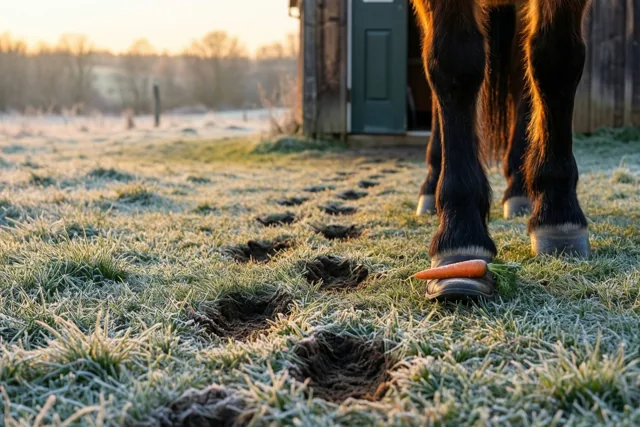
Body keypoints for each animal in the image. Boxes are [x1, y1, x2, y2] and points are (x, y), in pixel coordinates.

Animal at [411, 0, 591, 300]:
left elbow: (556, 58)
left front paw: (558, 212)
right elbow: (454, 63)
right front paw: (460, 236)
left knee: (522, 74)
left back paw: (520, 186)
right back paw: (432, 182)